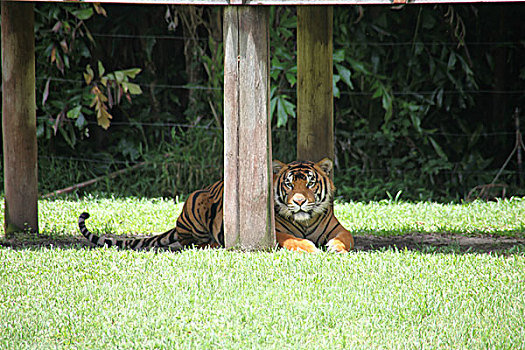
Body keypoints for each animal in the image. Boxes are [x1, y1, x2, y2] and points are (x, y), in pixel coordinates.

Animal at [78, 158, 354, 252]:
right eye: (288, 184)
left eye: (309, 183)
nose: (298, 201)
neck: (305, 220)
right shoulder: (273, 231)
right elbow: (293, 239)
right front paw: (309, 248)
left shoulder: (337, 227)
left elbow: (347, 237)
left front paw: (336, 248)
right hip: (197, 201)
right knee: (191, 242)